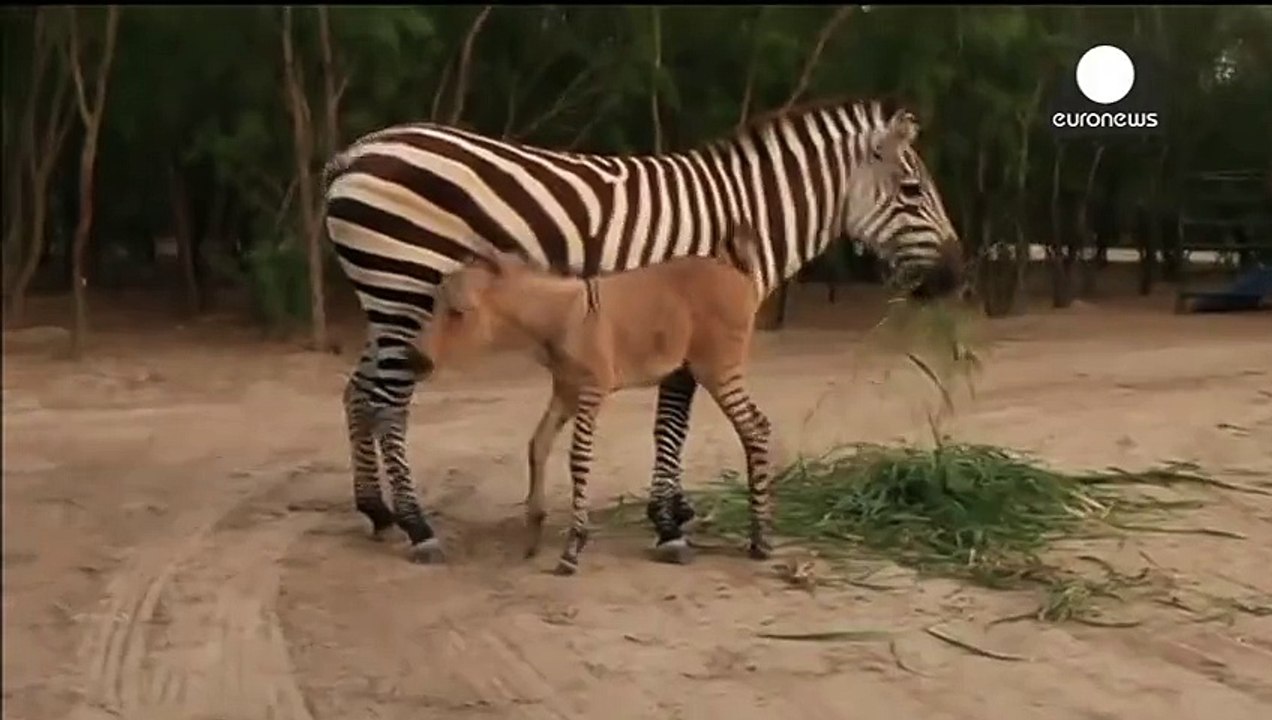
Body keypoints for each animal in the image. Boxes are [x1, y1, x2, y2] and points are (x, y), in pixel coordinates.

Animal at [323, 97, 964, 564]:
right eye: (914, 191)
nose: (958, 278)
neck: (744, 219)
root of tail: (351, 153)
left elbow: (669, 426)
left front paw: (673, 513)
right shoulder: (686, 336)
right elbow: (671, 427)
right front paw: (668, 523)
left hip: (388, 300)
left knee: (357, 393)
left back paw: (375, 509)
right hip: (404, 288)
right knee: (387, 404)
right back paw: (417, 525)